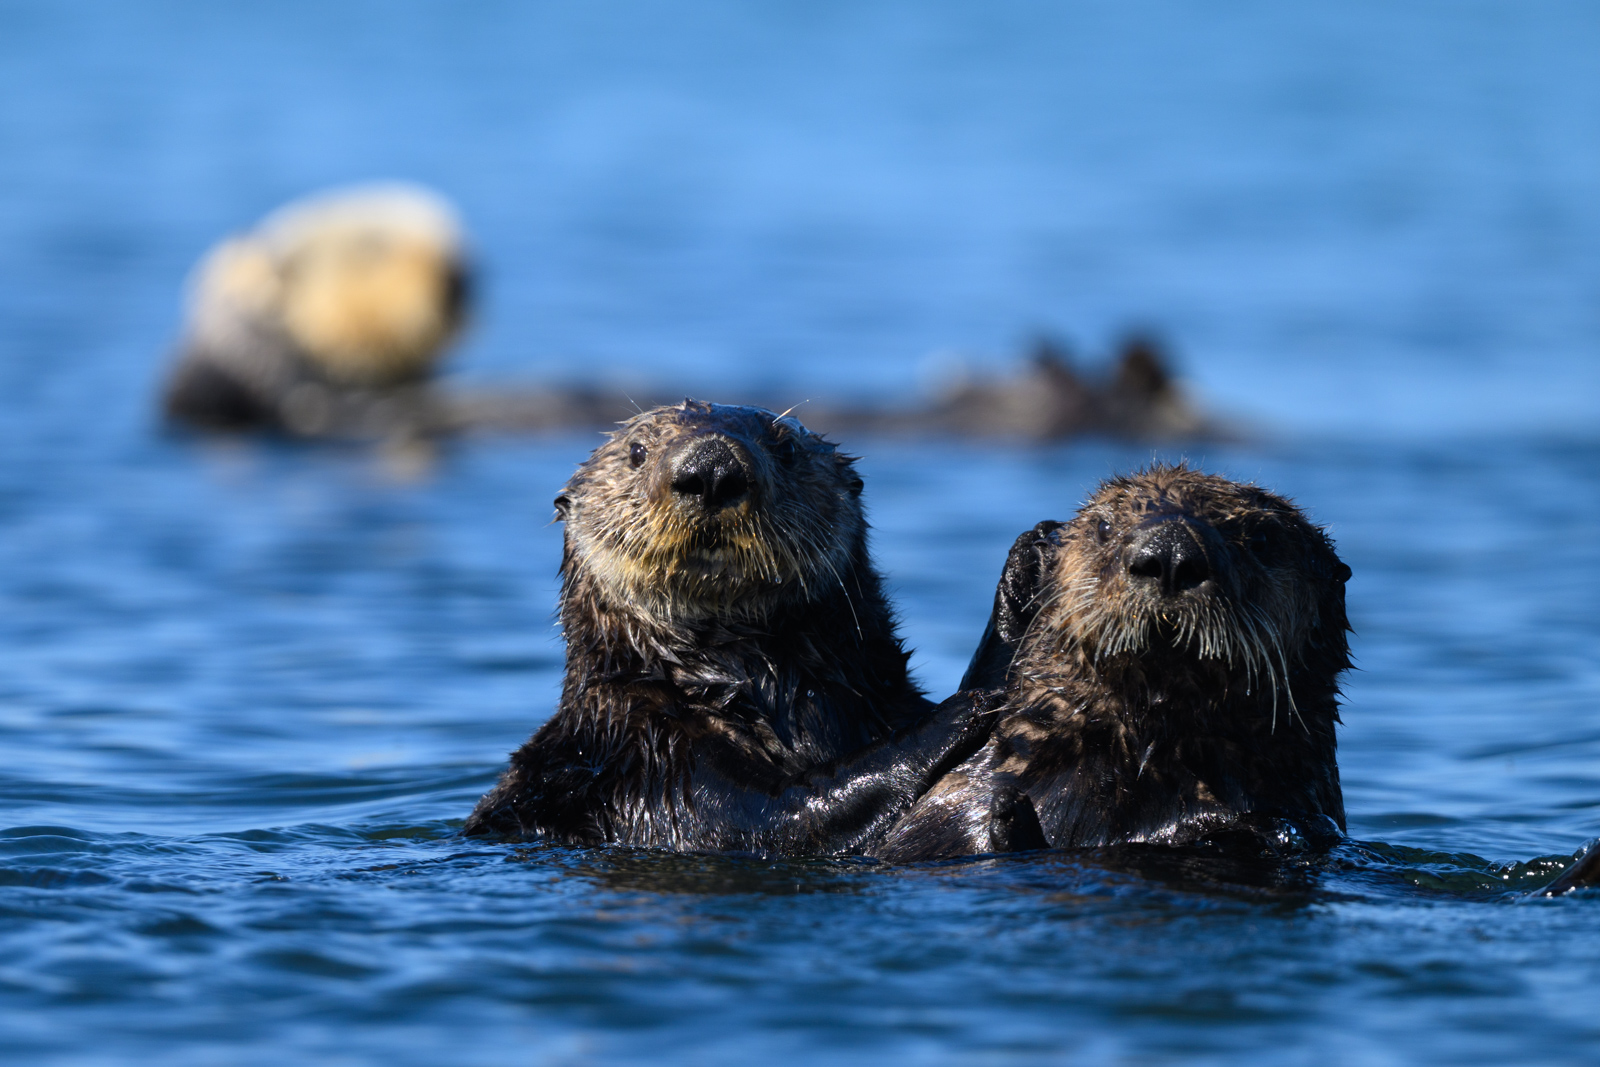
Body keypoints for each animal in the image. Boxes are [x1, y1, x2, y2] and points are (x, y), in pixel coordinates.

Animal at [464, 400, 1004, 853]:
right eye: (637, 451)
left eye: (786, 450)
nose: (711, 467)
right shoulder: (648, 755)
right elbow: (776, 817)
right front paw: (961, 710)